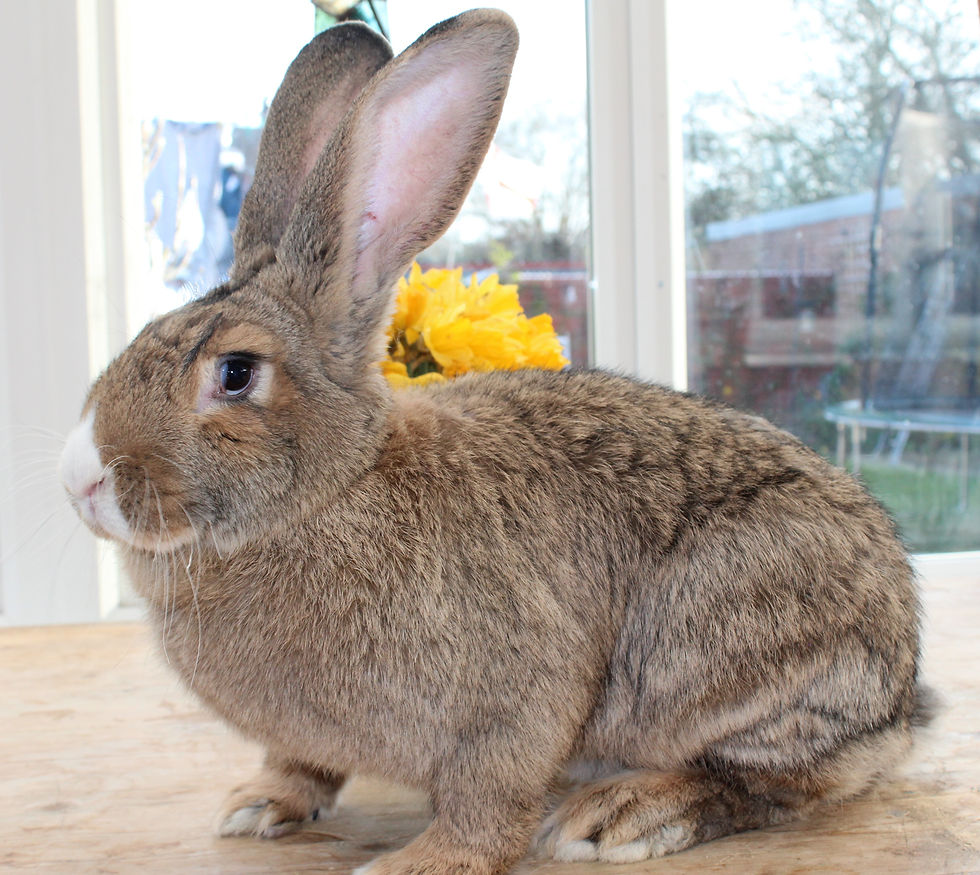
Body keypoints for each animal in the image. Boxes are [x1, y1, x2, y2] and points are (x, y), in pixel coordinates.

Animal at [59, 8, 929, 875]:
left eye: (235, 373)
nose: (81, 479)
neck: (331, 492)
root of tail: (901, 692)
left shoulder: (515, 701)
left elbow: (491, 796)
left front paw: (417, 862)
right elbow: (301, 762)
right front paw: (260, 803)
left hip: (718, 647)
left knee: (773, 779)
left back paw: (625, 811)